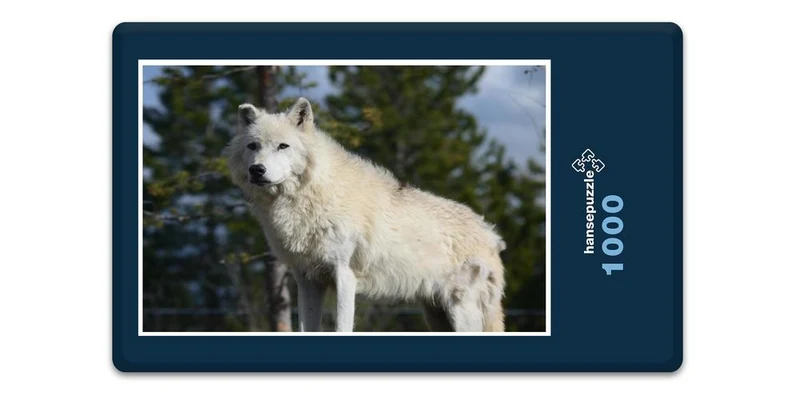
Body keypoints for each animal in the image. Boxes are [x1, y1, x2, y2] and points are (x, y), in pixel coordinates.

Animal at [223, 98, 507, 332]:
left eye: (283, 146)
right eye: (253, 146)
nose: (257, 170)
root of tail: (490, 234)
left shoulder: (344, 276)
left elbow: (341, 327)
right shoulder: (307, 281)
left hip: (461, 310)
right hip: (436, 314)